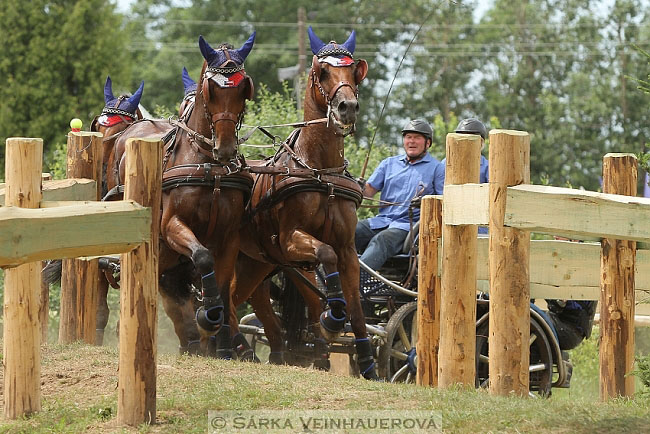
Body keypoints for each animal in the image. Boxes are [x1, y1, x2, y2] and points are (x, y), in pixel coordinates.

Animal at [104, 32, 256, 354]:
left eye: (243, 89)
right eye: (211, 90)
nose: (225, 147)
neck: (209, 167)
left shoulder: (230, 236)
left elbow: (223, 284)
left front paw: (222, 344)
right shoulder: (173, 226)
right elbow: (203, 257)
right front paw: (209, 315)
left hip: (167, 255)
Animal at [229, 27, 374, 378]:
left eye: (354, 72)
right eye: (322, 72)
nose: (347, 107)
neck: (321, 172)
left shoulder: (348, 249)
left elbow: (358, 309)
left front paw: (368, 365)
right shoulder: (291, 240)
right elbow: (326, 255)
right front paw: (333, 317)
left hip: (256, 263)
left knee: (239, 299)